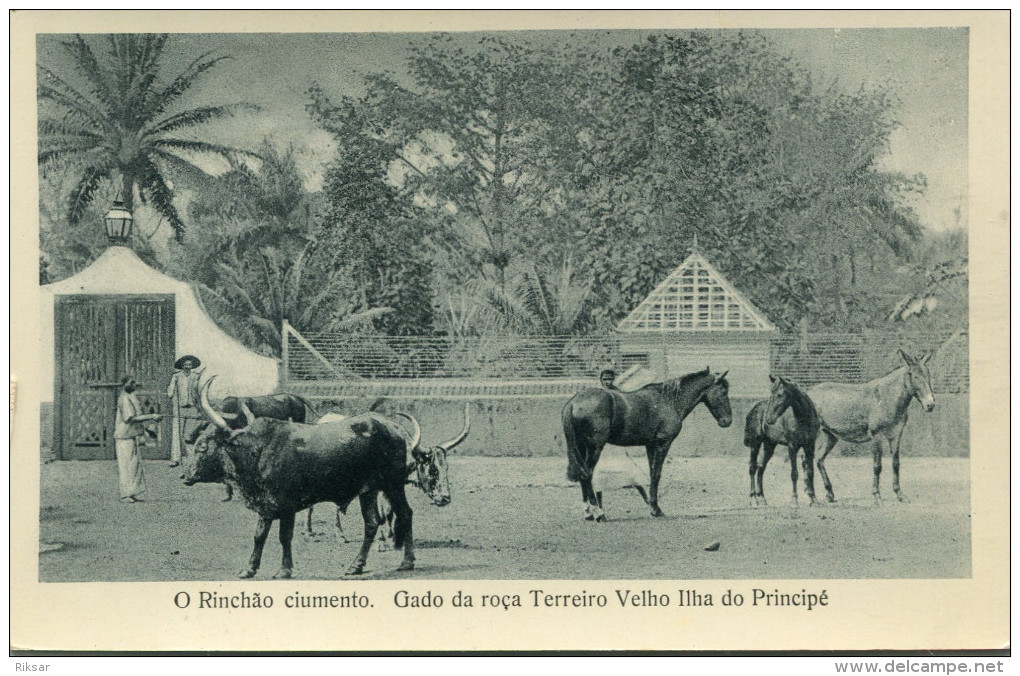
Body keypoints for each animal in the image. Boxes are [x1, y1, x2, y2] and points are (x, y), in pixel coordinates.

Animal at [558, 367, 734, 520]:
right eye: (723, 391)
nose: (727, 421)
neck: (669, 400)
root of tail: (573, 402)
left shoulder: (650, 445)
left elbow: (651, 473)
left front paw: (652, 505)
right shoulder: (663, 443)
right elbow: (656, 474)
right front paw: (656, 509)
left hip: (581, 447)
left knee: (582, 474)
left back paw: (588, 512)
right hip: (595, 447)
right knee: (587, 473)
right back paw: (598, 513)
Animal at [746, 375, 824, 507]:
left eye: (780, 394)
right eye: (771, 392)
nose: (768, 419)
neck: (803, 419)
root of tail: (754, 408)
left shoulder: (809, 446)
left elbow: (810, 472)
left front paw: (814, 500)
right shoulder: (792, 446)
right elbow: (794, 473)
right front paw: (794, 500)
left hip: (769, 445)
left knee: (761, 467)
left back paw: (762, 498)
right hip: (755, 444)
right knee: (752, 468)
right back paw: (753, 499)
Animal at [807, 350, 934, 505]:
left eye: (927, 374)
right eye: (913, 375)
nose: (930, 405)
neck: (887, 398)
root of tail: (807, 393)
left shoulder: (896, 435)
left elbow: (896, 463)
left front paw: (900, 495)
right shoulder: (876, 436)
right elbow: (877, 466)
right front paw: (877, 497)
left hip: (830, 436)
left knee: (819, 460)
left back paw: (829, 494)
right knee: (806, 460)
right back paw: (812, 497)